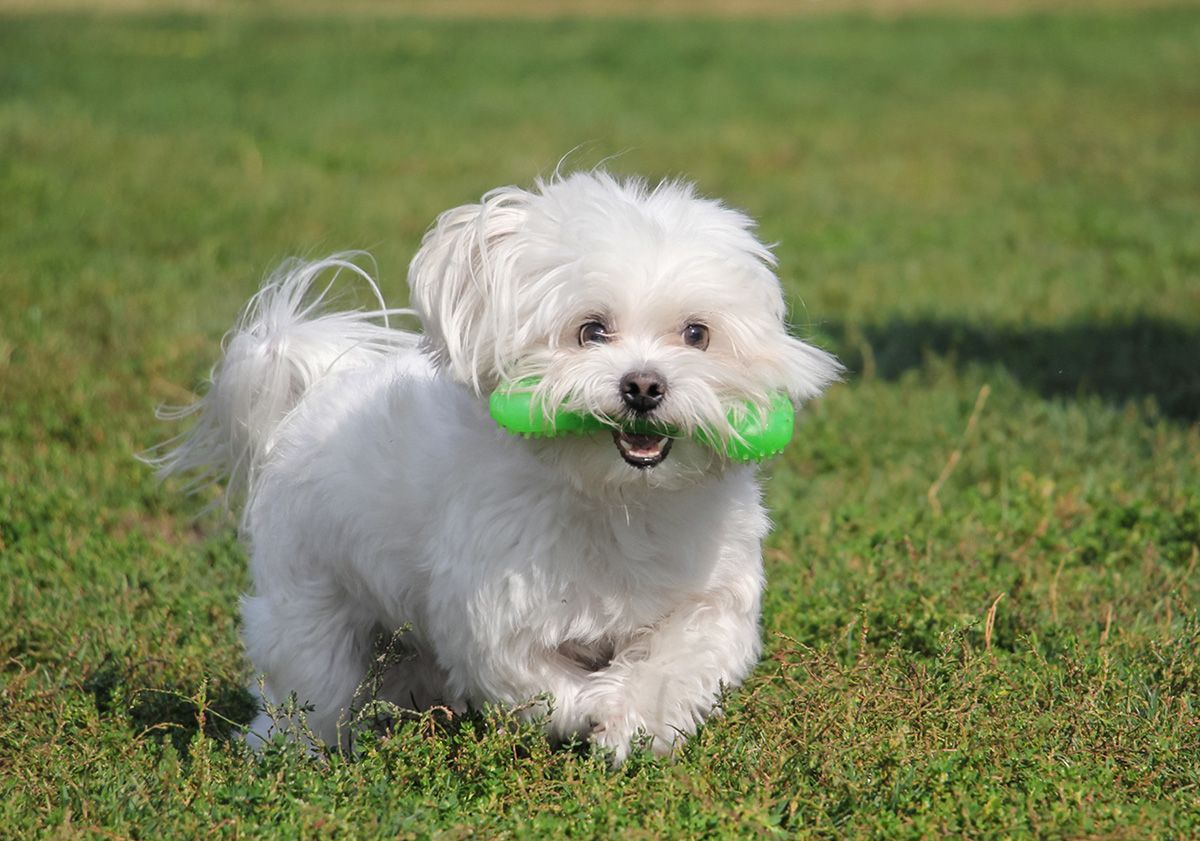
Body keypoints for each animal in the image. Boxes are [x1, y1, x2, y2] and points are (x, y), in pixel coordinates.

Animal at [152, 169, 844, 763]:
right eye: (591, 331)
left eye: (696, 334)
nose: (644, 386)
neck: (617, 498)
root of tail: (316, 389)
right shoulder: (496, 613)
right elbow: (536, 683)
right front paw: (591, 709)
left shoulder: (709, 596)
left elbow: (680, 661)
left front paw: (632, 722)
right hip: (310, 604)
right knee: (309, 688)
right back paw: (290, 754)